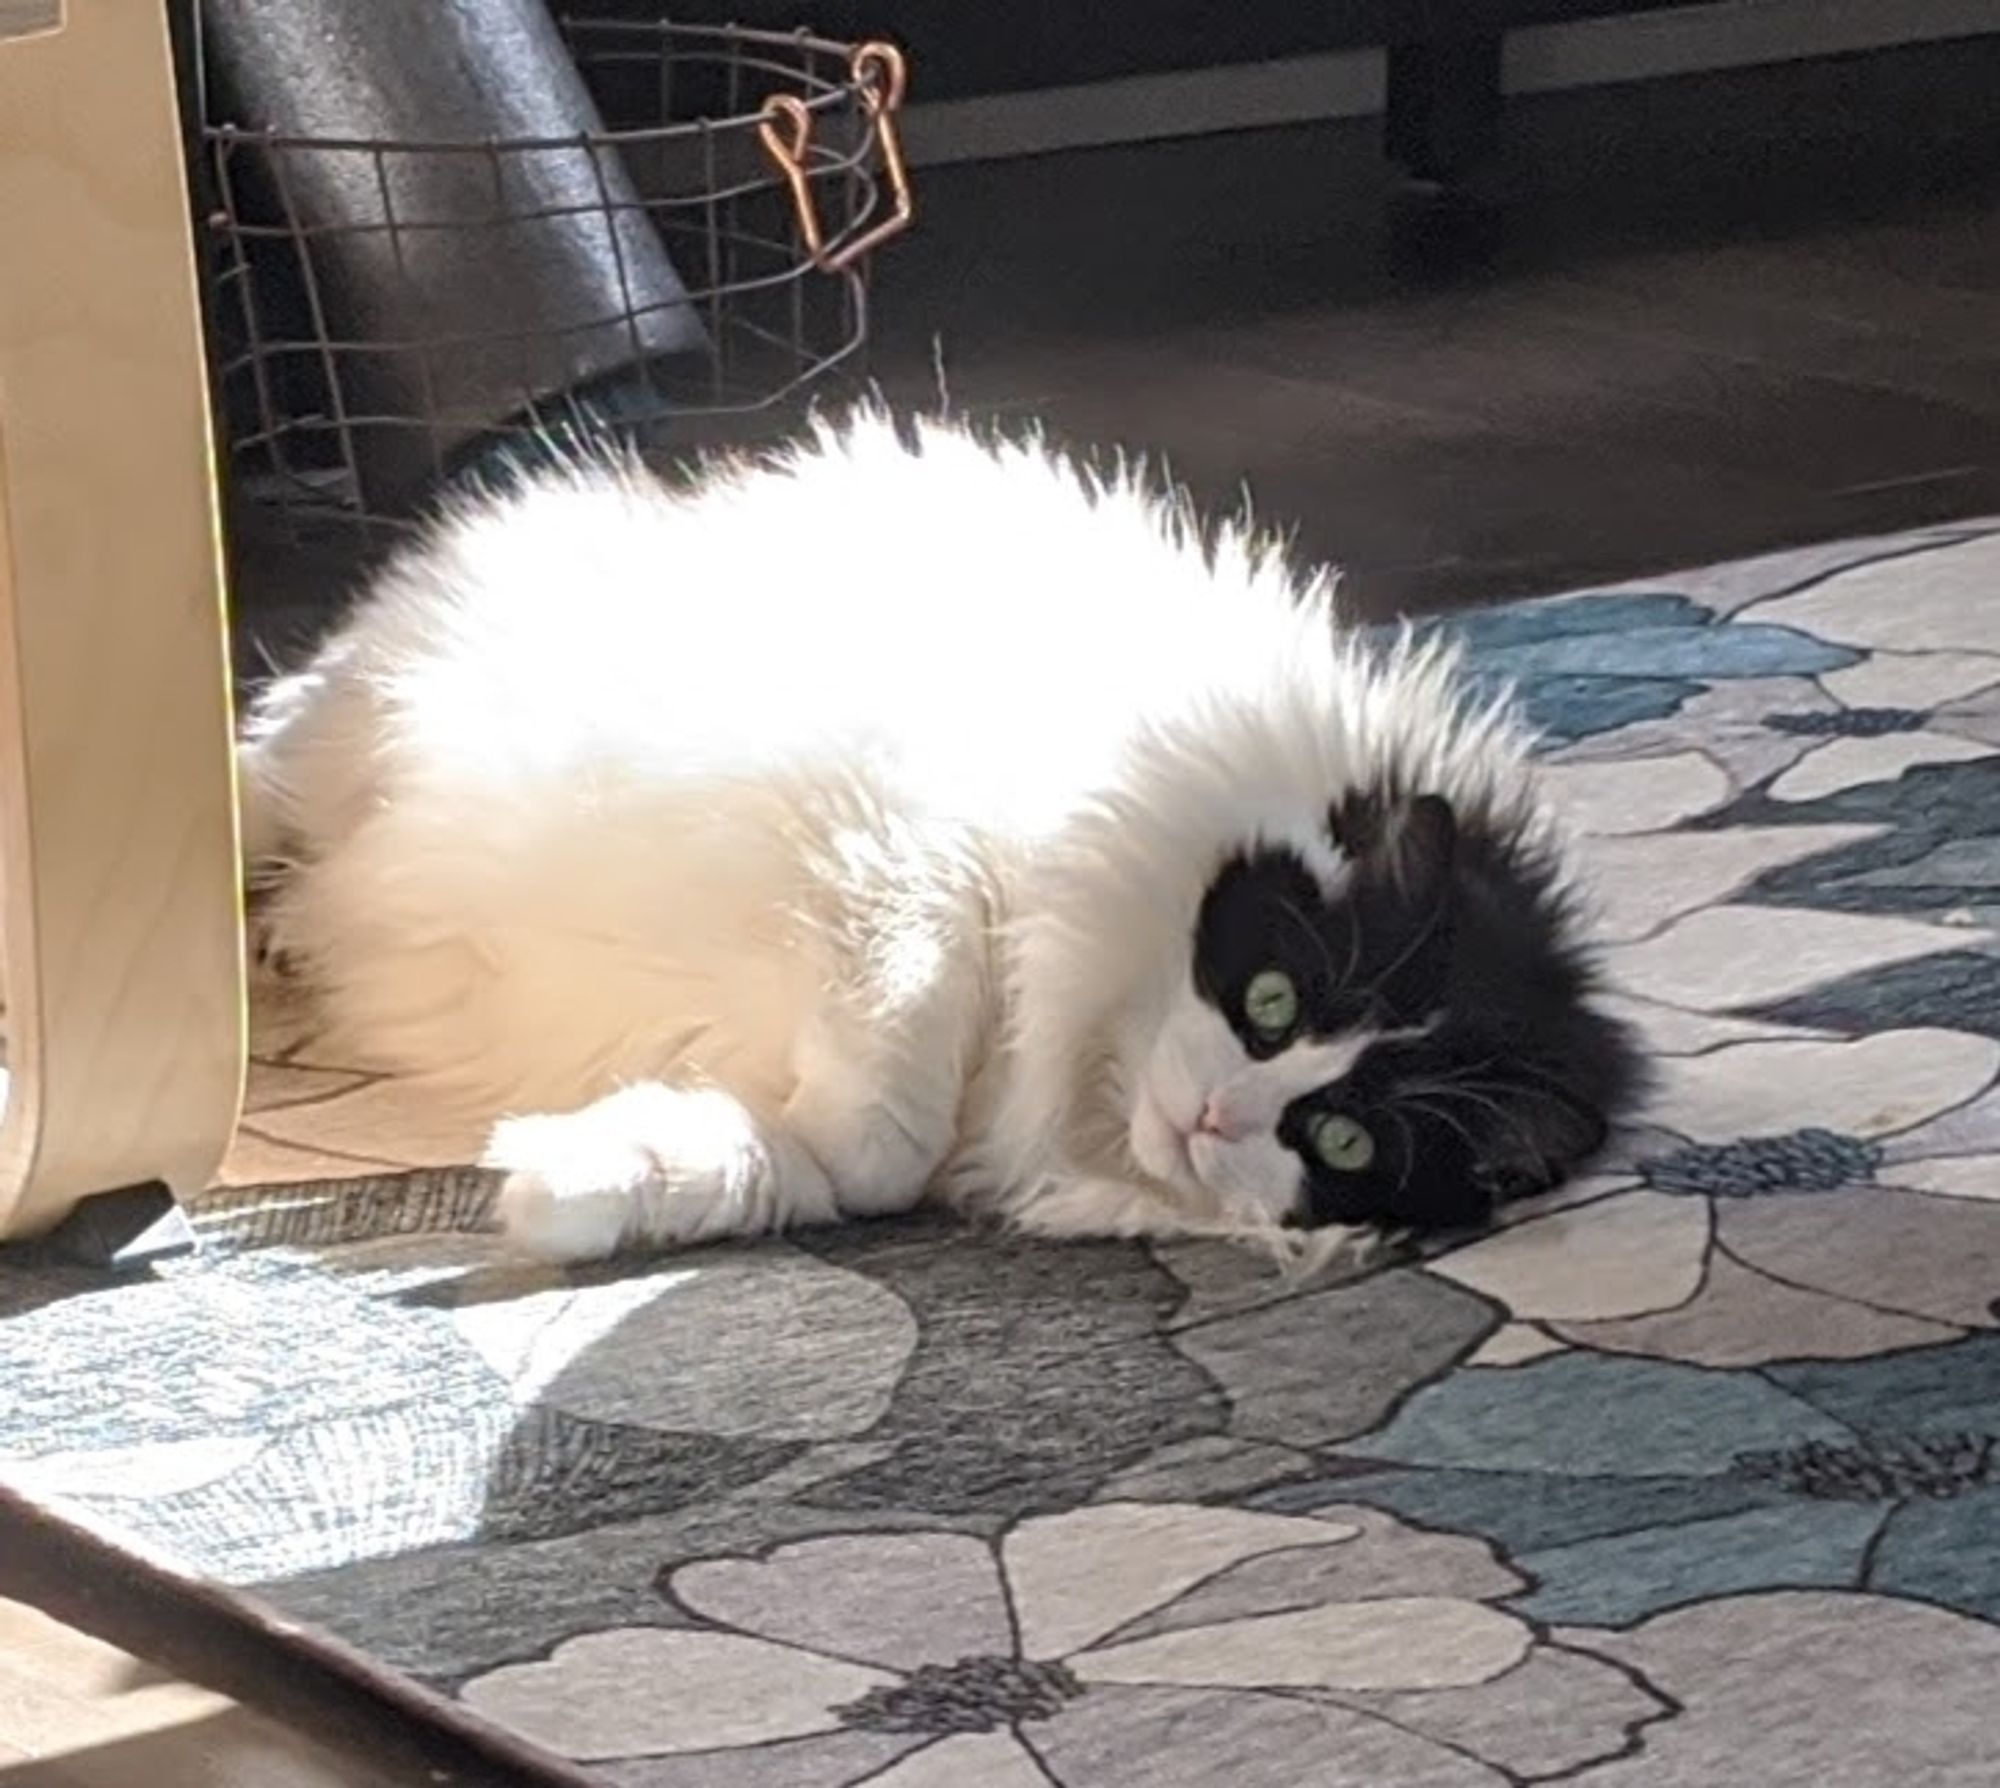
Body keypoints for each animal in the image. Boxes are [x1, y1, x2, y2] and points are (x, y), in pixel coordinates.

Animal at [238, 412, 1640, 1264]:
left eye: (1343, 1144)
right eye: (1272, 1001)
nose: (1213, 1119)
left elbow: (789, 1169)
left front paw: (562, 1185)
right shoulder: (909, 842)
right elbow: (897, 1078)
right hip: (357, 709)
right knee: (271, 747)